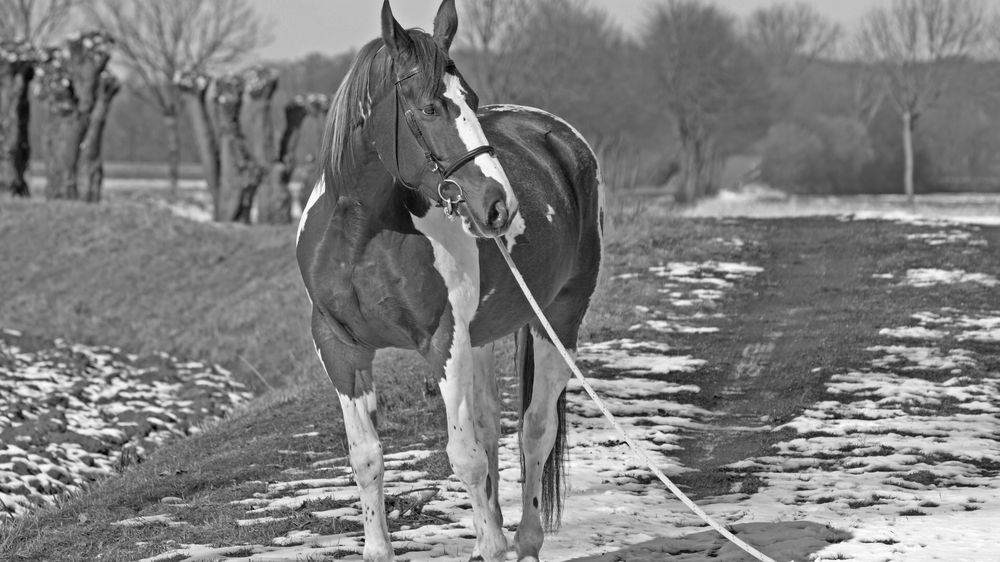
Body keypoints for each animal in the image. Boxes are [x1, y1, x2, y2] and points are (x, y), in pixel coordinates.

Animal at [294, 2, 600, 556]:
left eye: (472, 101)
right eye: (430, 108)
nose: (499, 206)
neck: (362, 234)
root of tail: (559, 138)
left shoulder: (444, 342)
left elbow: (466, 457)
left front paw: (493, 547)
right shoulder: (340, 348)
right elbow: (367, 457)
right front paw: (380, 549)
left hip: (559, 319)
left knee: (535, 430)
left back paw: (522, 540)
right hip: (483, 335)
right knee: (491, 425)